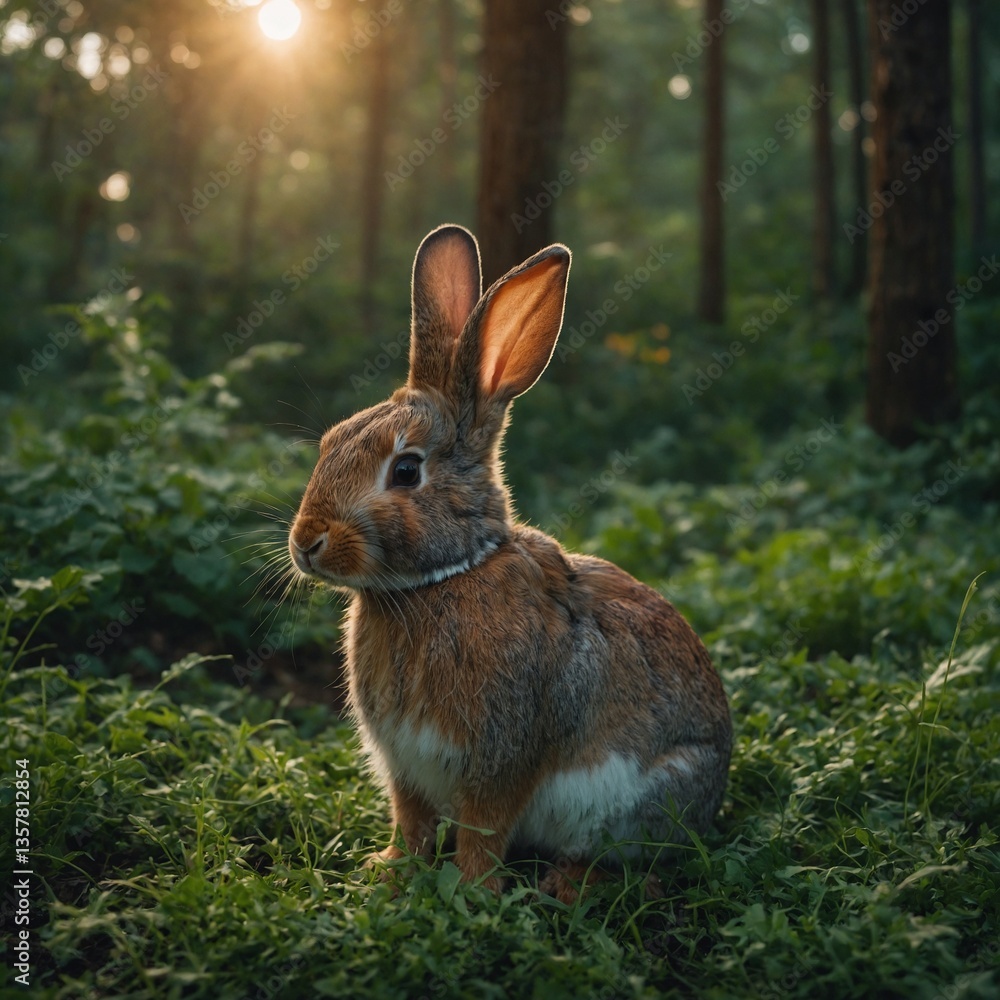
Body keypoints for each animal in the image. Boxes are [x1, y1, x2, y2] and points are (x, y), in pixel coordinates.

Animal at [288, 224, 732, 902]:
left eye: (406, 470)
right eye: (332, 440)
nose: (306, 542)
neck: (444, 578)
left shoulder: (501, 759)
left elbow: (484, 831)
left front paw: (472, 892)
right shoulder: (405, 766)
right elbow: (411, 821)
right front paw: (386, 871)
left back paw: (568, 883)